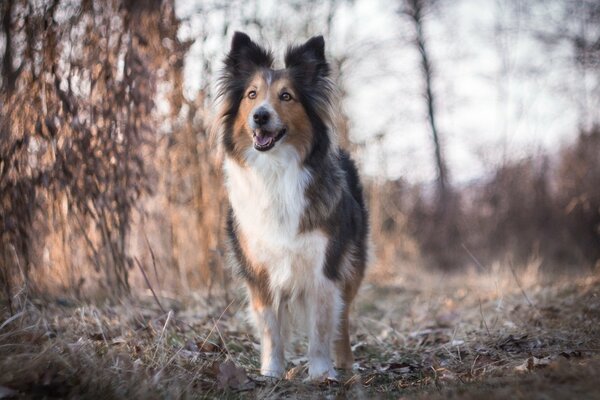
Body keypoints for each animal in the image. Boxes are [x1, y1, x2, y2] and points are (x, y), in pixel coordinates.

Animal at [213, 32, 368, 380]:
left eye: (286, 96)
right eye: (252, 94)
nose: (260, 115)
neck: (276, 171)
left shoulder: (324, 267)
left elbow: (322, 328)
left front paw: (321, 373)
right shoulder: (259, 272)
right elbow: (271, 329)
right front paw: (271, 372)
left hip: (352, 264)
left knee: (343, 317)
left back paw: (345, 361)